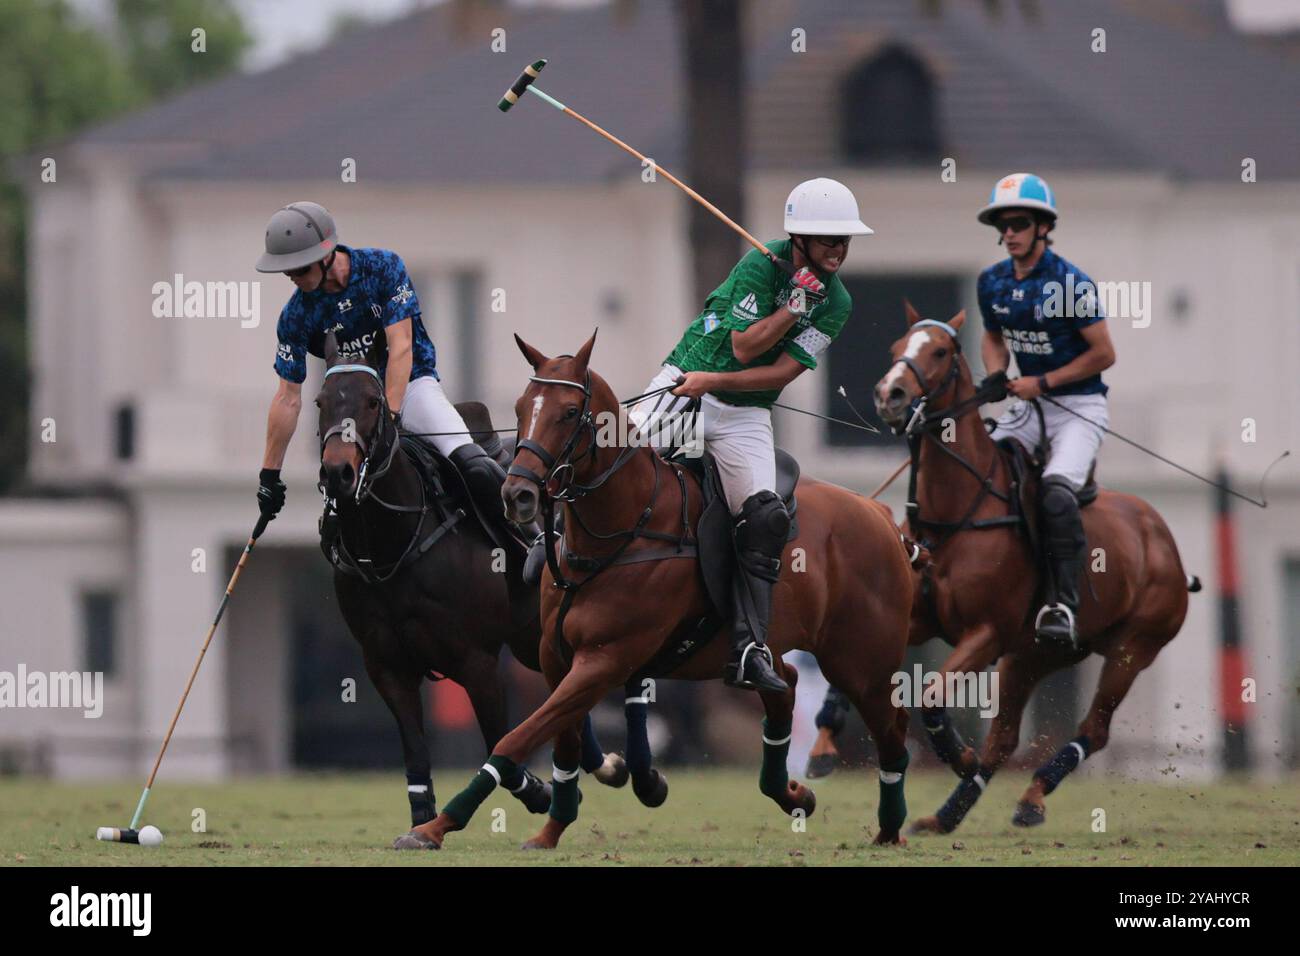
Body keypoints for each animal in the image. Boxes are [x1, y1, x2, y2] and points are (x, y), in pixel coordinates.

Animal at [319, 338, 634, 837]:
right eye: (320, 402)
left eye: (371, 402)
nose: (338, 474)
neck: (394, 546)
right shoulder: (386, 664)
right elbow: (416, 750)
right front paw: (422, 823)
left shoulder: (476, 660)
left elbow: (498, 740)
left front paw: (539, 791)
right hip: (530, 640)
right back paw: (606, 765)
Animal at [395, 330, 915, 853]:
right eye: (523, 406)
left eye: (569, 411)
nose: (516, 494)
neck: (620, 530)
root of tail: (877, 513)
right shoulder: (554, 656)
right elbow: (562, 746)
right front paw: (550, 829)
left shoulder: (605, 659)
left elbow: (516, 739)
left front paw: (435, 826)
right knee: (784, 684)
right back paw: (794, 794)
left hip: (863, 664)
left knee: (892, 735)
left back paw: (890, 827)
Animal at [873, 304, 1196, 832]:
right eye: (898, 346)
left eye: (939, 351)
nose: (890, 394)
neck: (956, 512)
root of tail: (1163, 538)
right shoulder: (919, 620)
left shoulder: (986, 632)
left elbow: (932, 696)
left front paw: (958, 756)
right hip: (1035, 655)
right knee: (1005, 738)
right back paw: (948, 815)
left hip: (1134, 648)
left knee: (1095, 729)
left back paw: (1030, 796)